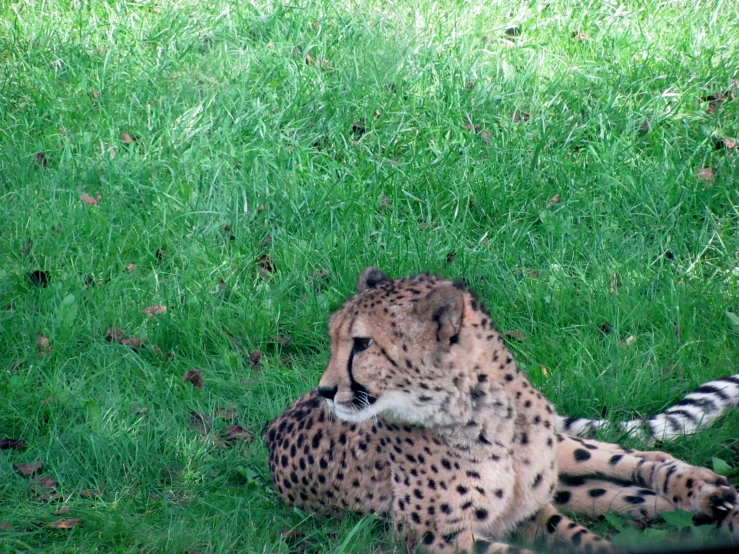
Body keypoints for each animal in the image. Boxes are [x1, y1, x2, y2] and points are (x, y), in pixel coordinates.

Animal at [268, 266, 739, 548]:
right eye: (335, 339)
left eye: (362, 344)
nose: (326, 391)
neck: (481, 413)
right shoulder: (436, 537)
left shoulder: (528, 508)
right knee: (620, 494)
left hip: (562, 451)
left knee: (640, 458)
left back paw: (705, 490)